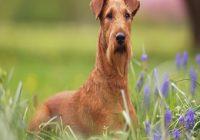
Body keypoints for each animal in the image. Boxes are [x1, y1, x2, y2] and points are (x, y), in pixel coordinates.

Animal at [28, 0, 140, 137]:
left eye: (127, 15)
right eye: (109, 15)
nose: (120, 37)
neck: (116, 83)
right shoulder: (110, 132)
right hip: (41, 118)